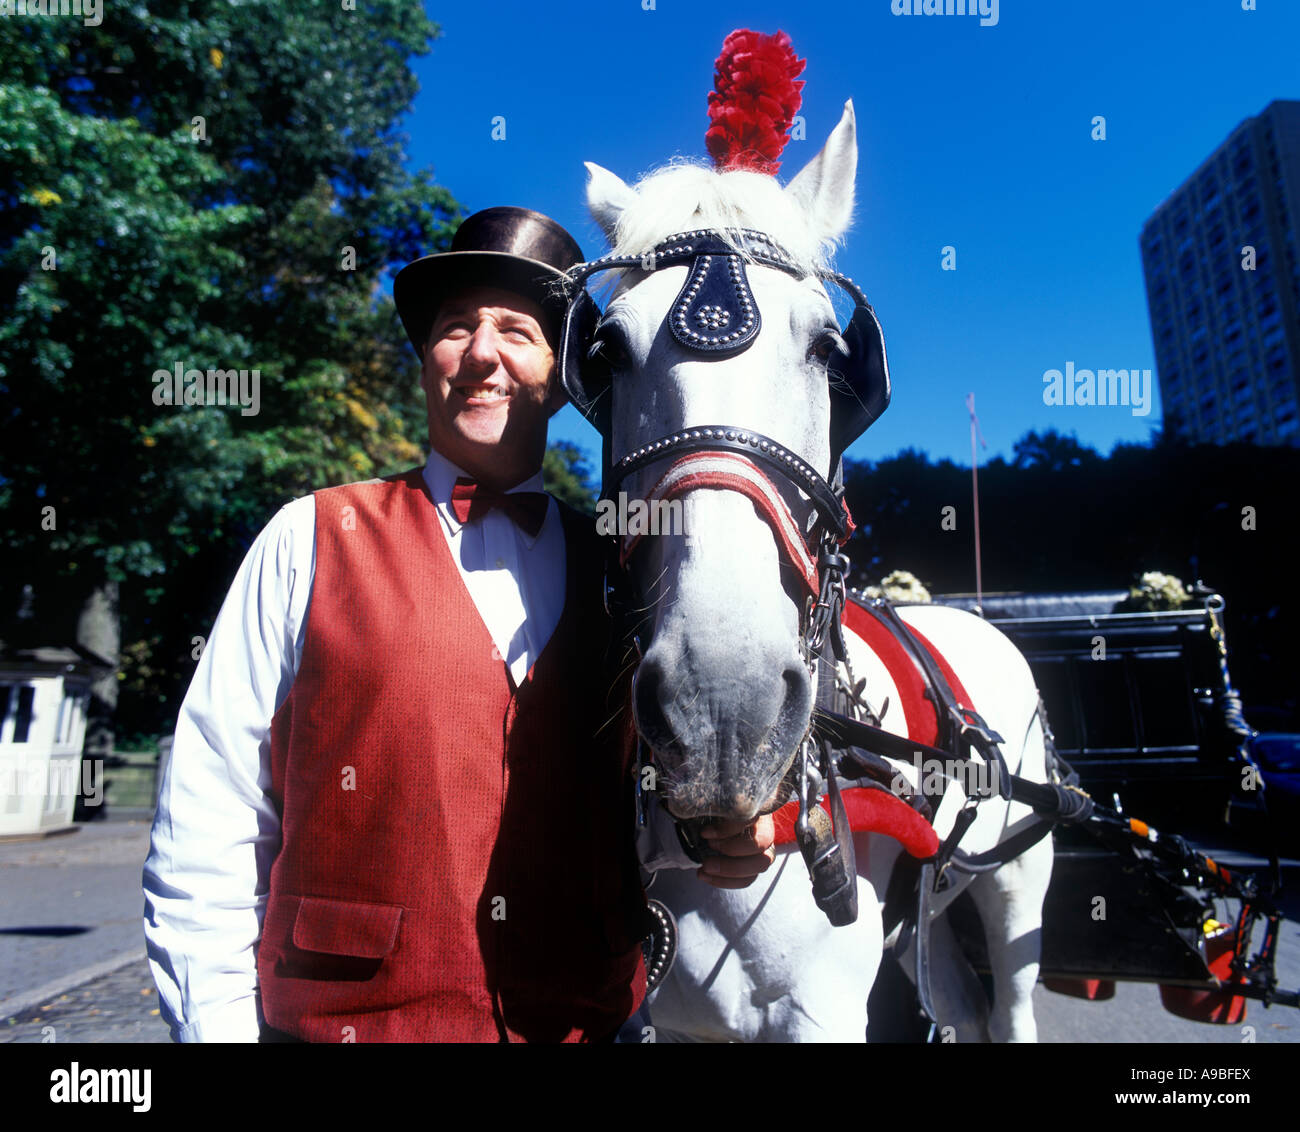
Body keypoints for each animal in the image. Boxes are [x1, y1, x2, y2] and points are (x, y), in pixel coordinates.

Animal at [579, 99, 1055, 1044]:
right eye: (606, 351)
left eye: (833, 352)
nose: (722, 710)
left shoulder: (817, 1011)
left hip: (1021, 879)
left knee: (1012, 1002)